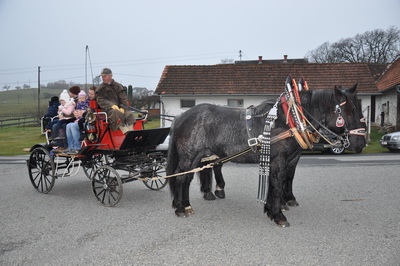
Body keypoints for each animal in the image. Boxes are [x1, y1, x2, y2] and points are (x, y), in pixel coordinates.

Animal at [166, 83, 366, 227]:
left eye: (360, 108)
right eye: (347, 111)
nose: (361, 143)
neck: (288, 120)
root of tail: (181, 117)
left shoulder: (283, 160)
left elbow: (279, 182)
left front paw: (272, 208)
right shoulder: (279, 161)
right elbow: (277, 185)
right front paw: (278, 215)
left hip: (197, 157)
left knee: (187, 178)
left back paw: (186, 205)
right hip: (188, 156)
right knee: (180, 178)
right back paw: (180, 208)